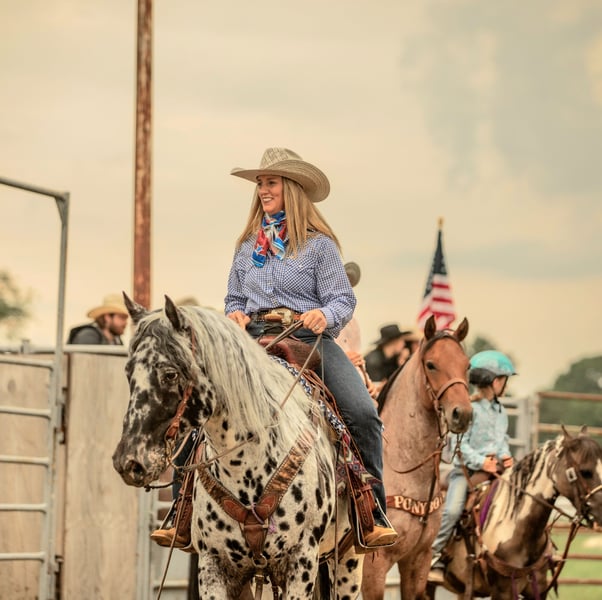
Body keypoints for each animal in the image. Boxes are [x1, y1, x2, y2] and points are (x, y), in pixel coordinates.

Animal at [112, 295, 363, 599]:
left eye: (170, 374)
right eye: (128, 372)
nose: (129, 461)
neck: (248, 466)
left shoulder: (301, 561)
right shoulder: (215, 564)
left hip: (348, 561)